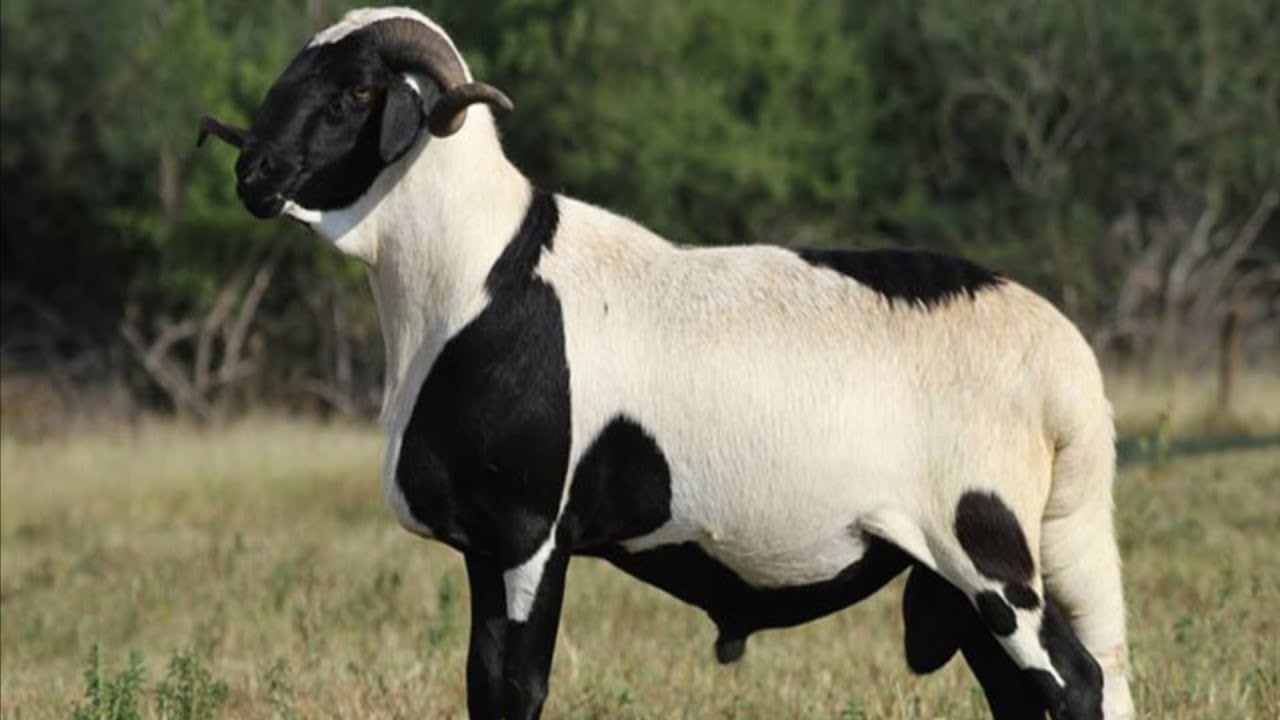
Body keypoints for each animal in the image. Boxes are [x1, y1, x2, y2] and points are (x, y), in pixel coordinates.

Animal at [200, 8, 1134, 720]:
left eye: (357, 91)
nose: (253, 171)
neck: (476, 273)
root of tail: (1066, 364)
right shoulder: (490, 542)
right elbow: (485, 687)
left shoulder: (528, 533)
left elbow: (513, 689)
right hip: (961, 576)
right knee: (1031, 697)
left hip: (988, 553)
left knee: (1080, 682)